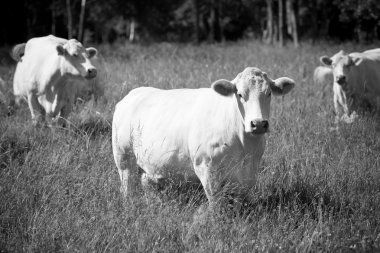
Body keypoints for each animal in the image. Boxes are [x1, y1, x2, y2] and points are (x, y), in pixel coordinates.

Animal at [111, 66, 296, 211]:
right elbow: (215, 202)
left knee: (147, 182)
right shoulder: (206, 166)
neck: (244, 145)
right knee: (127, 186)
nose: (258, 124)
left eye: (269, 93)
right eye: (240, 94)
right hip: (123, 156)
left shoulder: (250, 170)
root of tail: (134, 93)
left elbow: (239, 200)